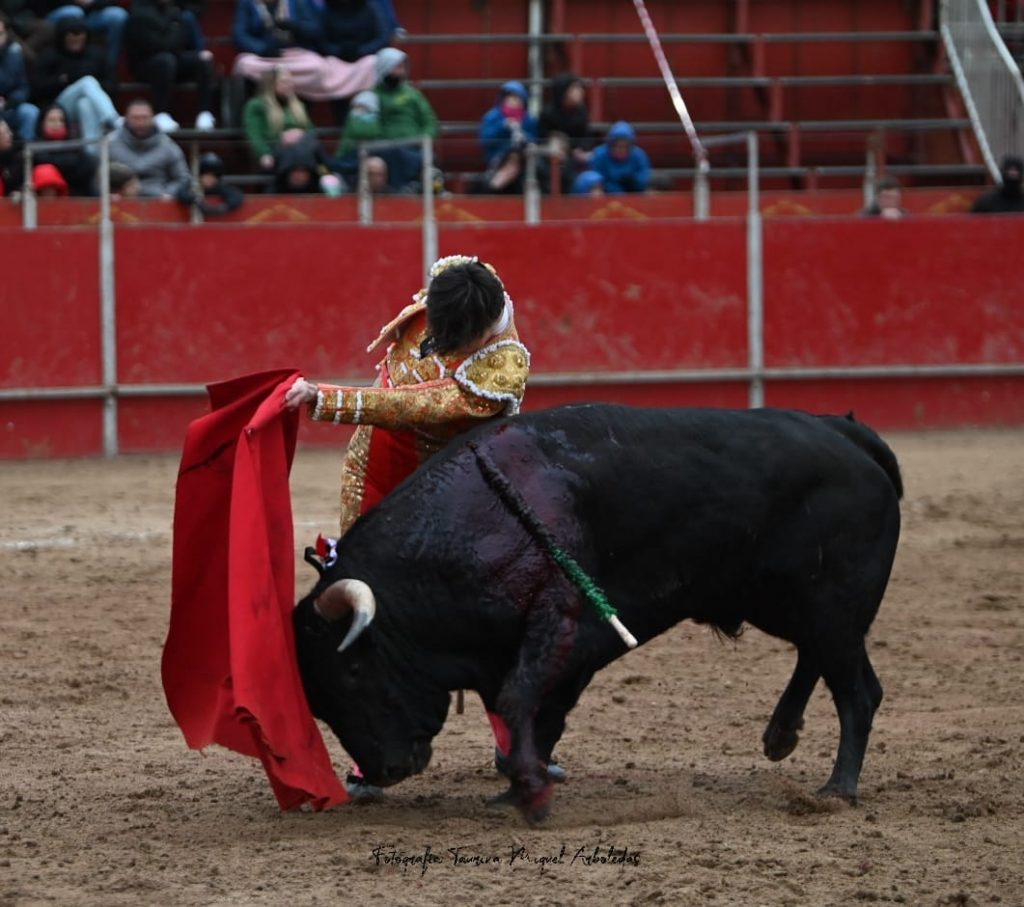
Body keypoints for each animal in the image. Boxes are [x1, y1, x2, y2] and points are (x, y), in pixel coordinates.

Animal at [292, 405, 901, 823]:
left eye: (354, 669)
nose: (384, 769)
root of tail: (847, 434)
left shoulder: (561, 629)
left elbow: (521, 703)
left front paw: (532, 795)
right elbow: (531, 718)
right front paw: (518, 788)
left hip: (831, 604)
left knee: (858, 691)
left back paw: (837, 788)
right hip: (784, 602)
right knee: (818, 658)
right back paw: (780, 736)